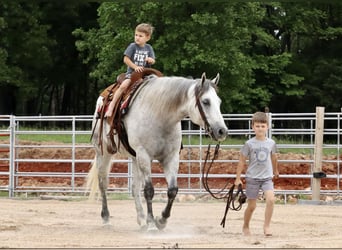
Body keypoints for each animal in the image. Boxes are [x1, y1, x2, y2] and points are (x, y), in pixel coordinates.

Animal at [87, 72, 228, 230]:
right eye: (205, 101)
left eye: (219, 102)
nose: (222, 131)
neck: (160, 115)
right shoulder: (144, 155)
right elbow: (149, 190)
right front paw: (151, 223)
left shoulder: (170, 157)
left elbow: (172, 190)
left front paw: (161, 220)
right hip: (103, 153)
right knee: (103, 183)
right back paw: (106, 218)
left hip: (134, 157)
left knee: (135, 187)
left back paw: (141, 219)